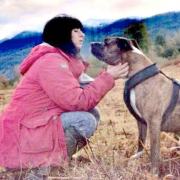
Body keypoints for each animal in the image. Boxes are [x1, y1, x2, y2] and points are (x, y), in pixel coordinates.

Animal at [90, 36, 180, 176]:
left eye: (107, 42)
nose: (91, 43)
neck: (138, 73)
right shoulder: (141, 121)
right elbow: (141, 141)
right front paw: (138, 156)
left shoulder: (153, 122)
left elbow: (154, 151)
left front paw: (154, 172)